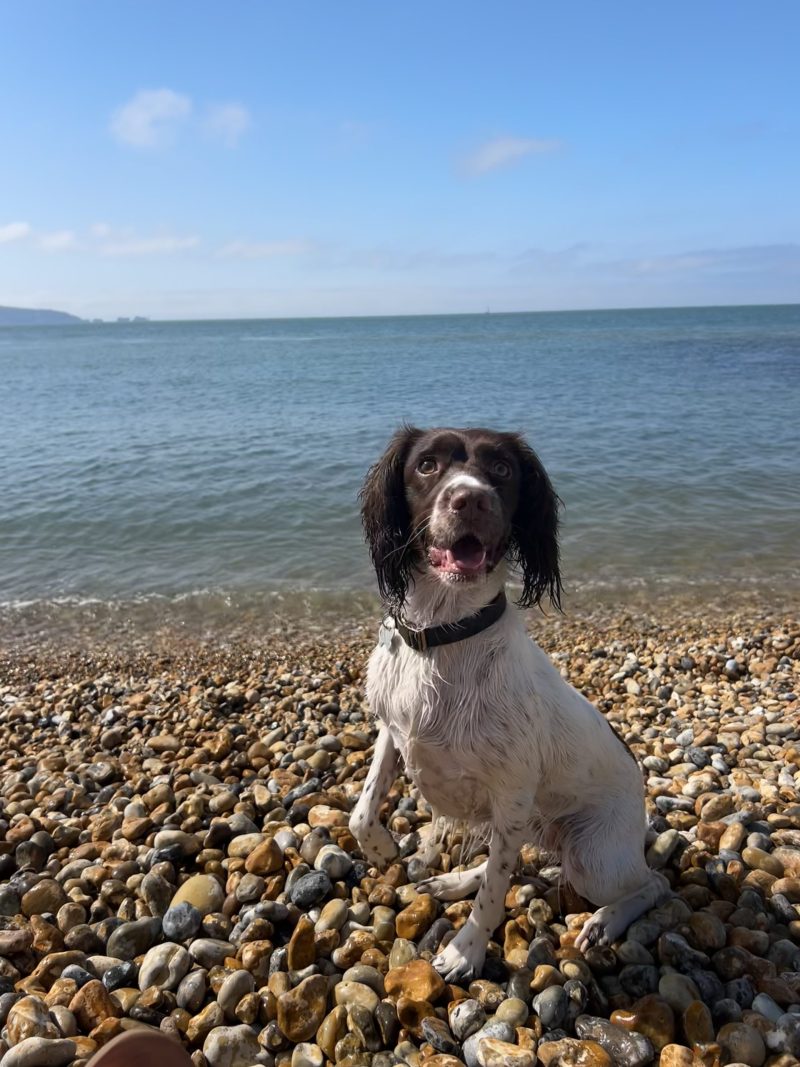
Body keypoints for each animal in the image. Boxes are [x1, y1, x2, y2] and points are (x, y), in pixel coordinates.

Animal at [349, 424, 669, 981]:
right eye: (427, 464)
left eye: (500, 469)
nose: (470, 498)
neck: (445, 634)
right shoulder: (392, 730)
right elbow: (361, 809)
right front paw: (382, 847)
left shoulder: (513, 792)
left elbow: (495, 893)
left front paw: (466, 950)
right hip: (534, 827)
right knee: (514, 858)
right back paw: (455, 879)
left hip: (593, 860)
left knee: (652, 884)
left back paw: (604, 922)